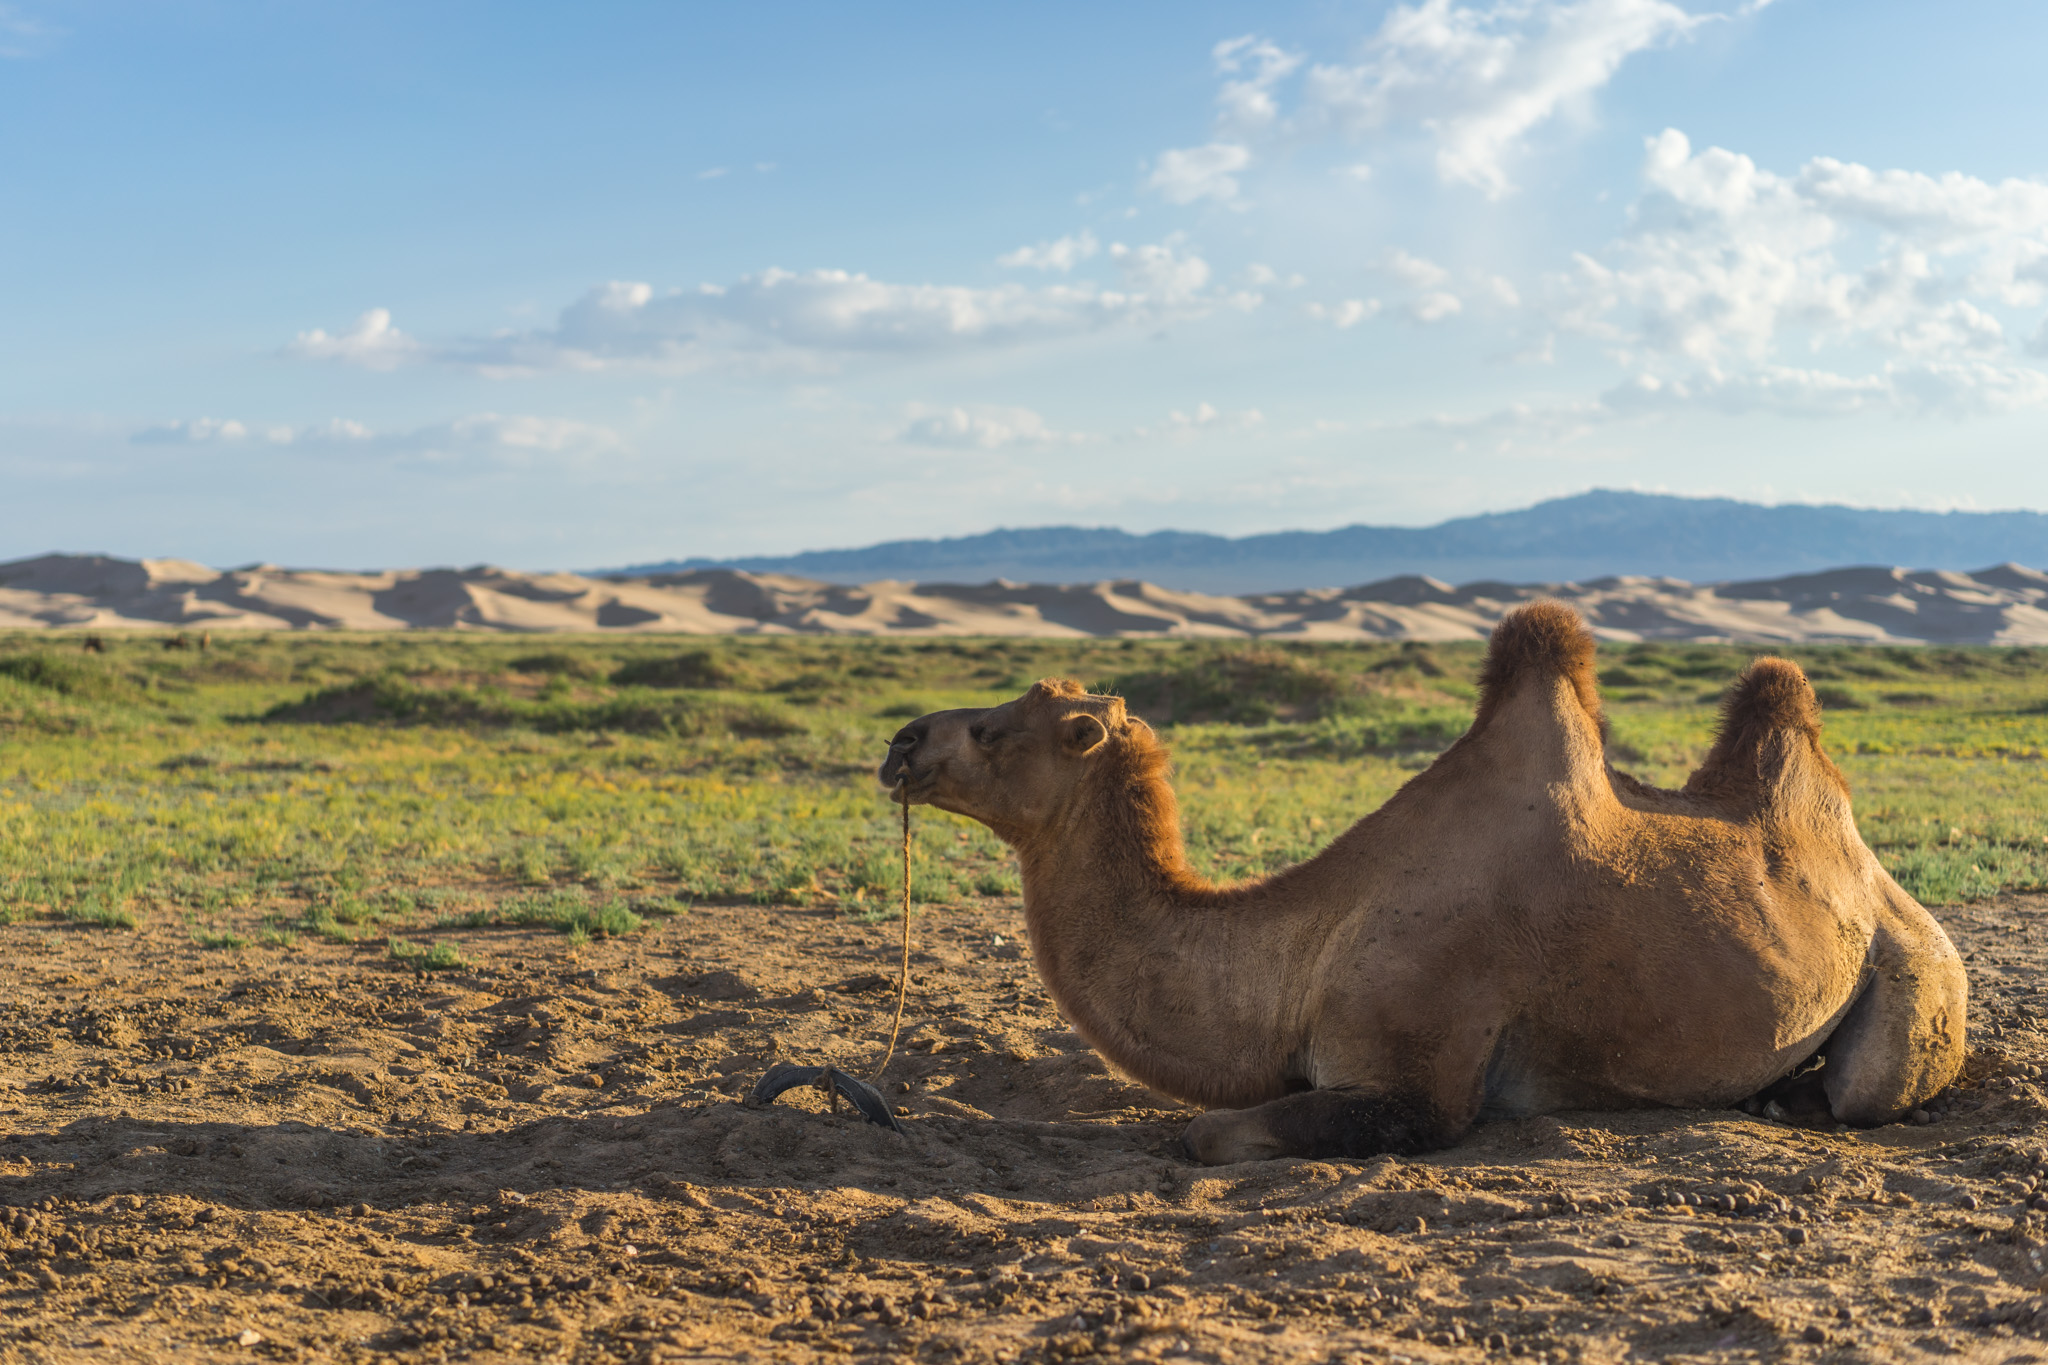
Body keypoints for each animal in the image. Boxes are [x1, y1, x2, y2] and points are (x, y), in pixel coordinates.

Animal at [876, 605, 1966, 1162]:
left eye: (993, 732)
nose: (900, 741)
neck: (1301, 953)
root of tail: (1885, 887)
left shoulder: (1421, 1080)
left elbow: (1207, 1134)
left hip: (1918, 977)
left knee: (1868, 1086)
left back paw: (1795, 1102)